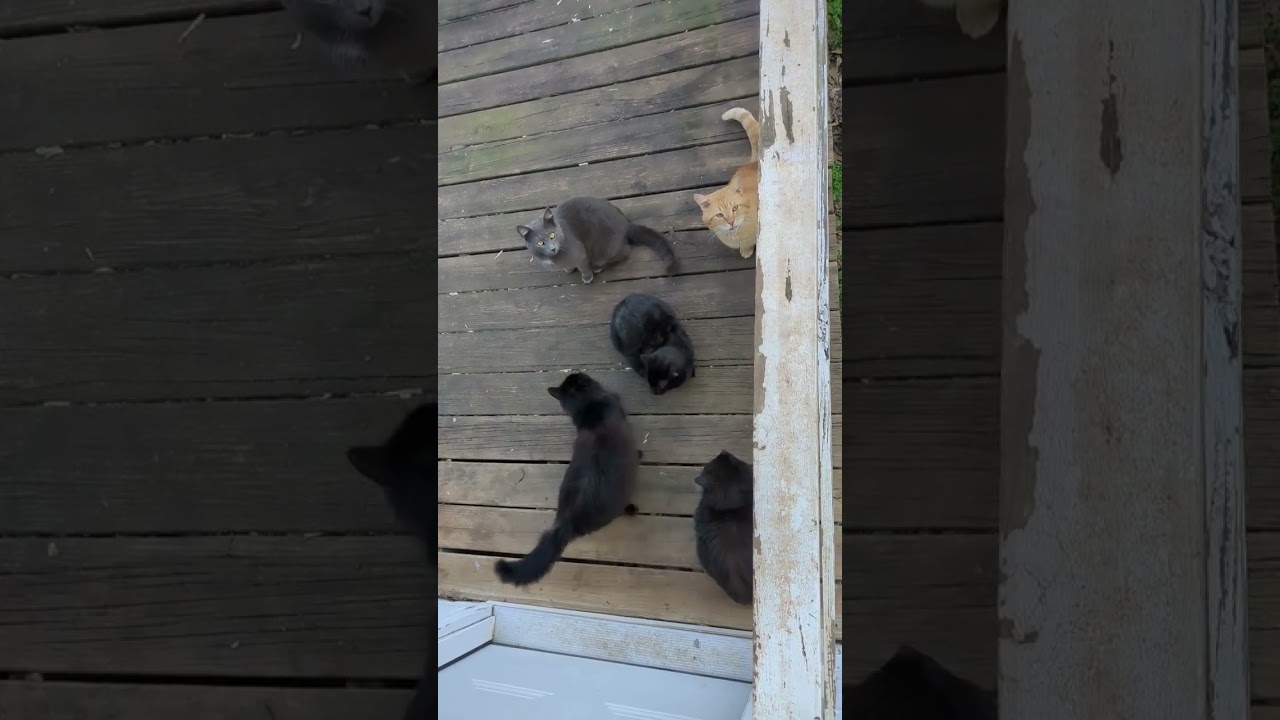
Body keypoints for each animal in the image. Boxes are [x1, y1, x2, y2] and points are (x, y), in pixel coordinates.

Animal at [517, 198, 686, 285]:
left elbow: (583, 266)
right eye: (540, 243)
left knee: (625, 252)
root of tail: (626, 224)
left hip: (606, 249)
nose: (552, 248)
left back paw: (598, 267)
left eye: (552, 235)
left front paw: (587, 277)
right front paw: (569, 269)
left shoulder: (580, 253)